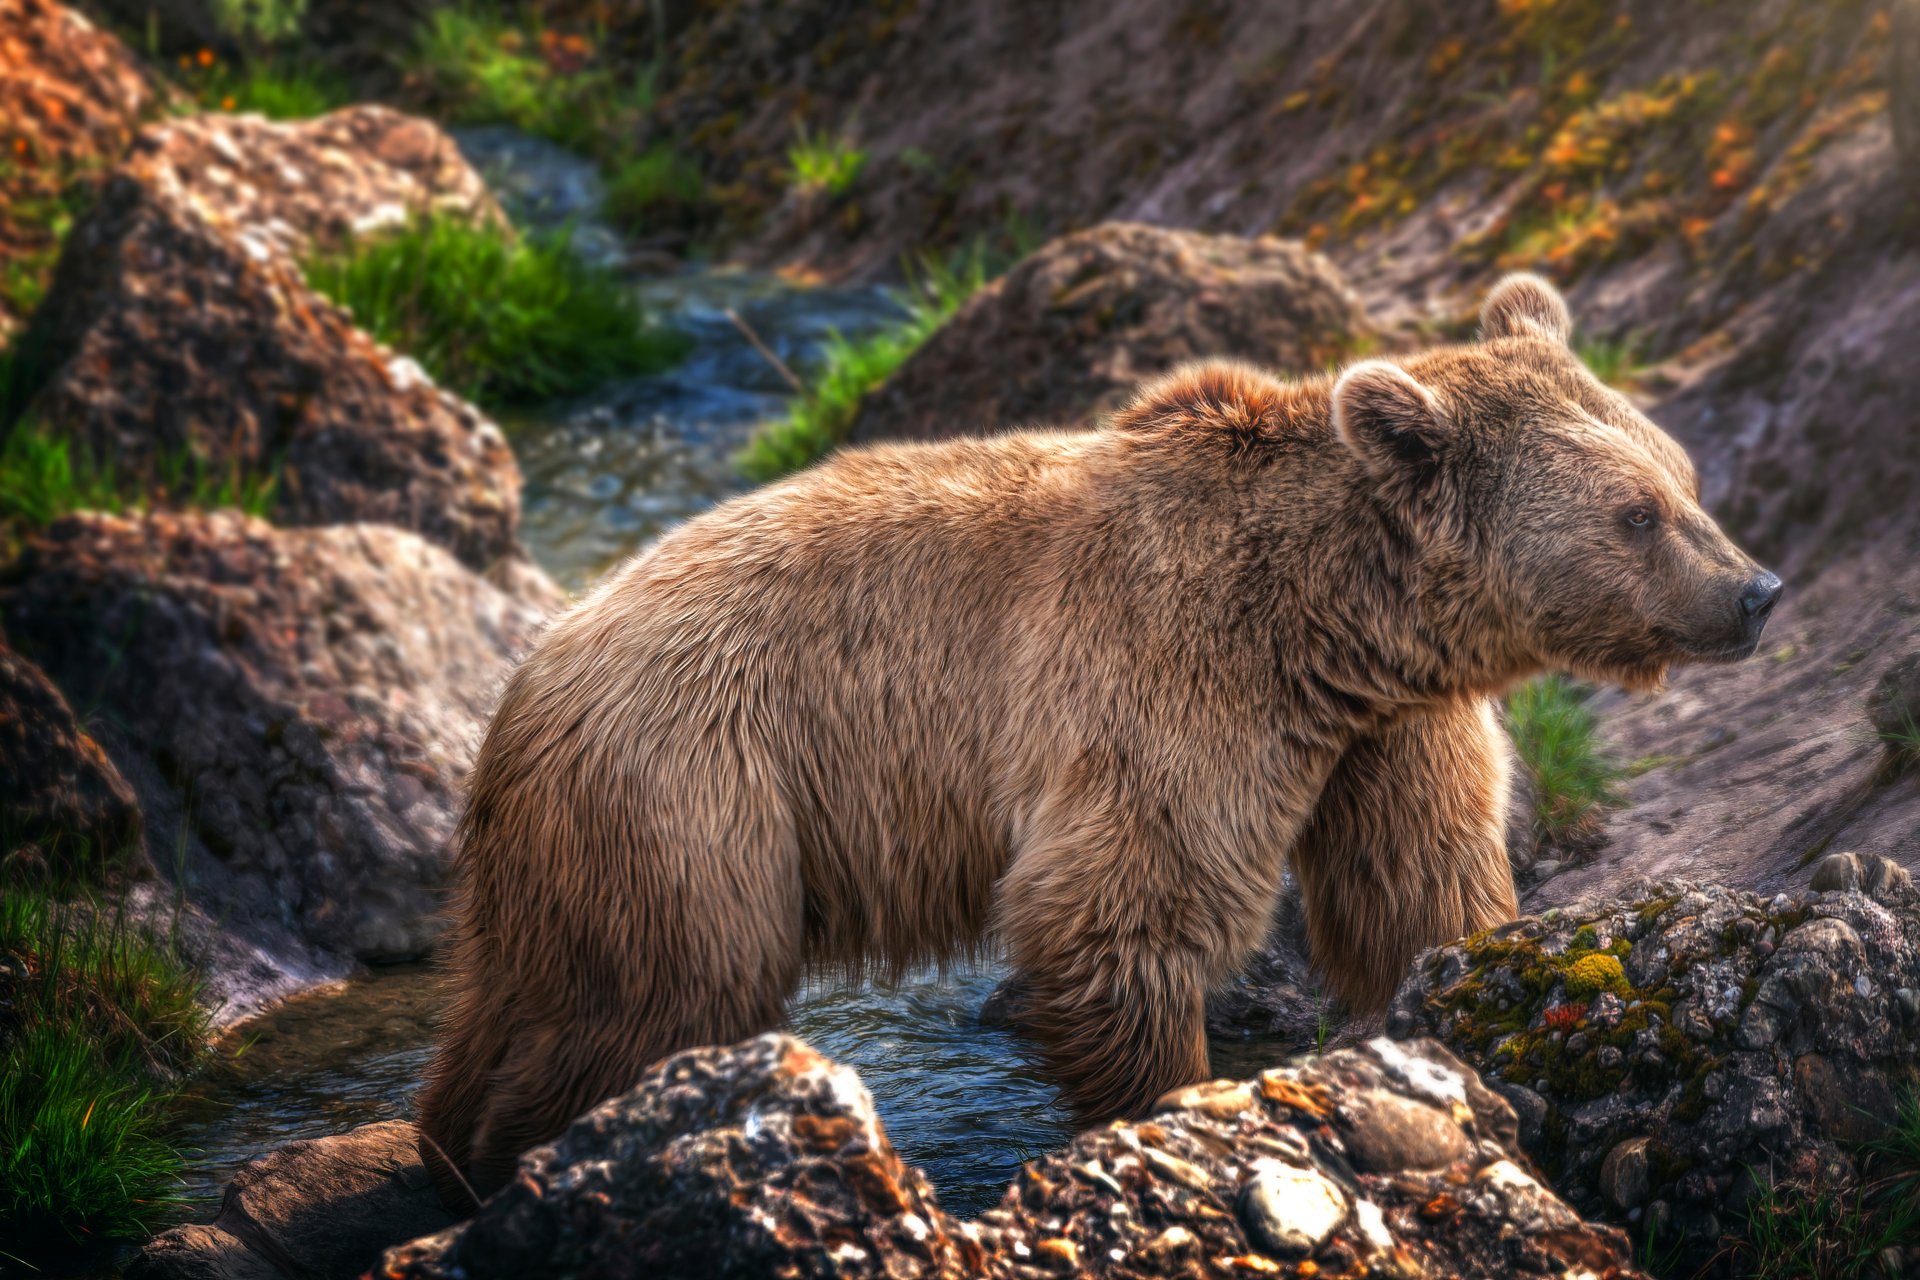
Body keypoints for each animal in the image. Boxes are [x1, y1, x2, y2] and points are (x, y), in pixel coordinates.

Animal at [420, 276, 1781, 1205]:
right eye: (1635, 510)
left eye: (1682, 474)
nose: (1757, 589)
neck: (1332, 626)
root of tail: (527, 675)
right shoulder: (1168, 685)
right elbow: (1126, 909)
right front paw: (1172, 1107)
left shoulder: (1386, 737)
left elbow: (1417, 885)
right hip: (695, 789)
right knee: (656, 1000)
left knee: (526, 998)